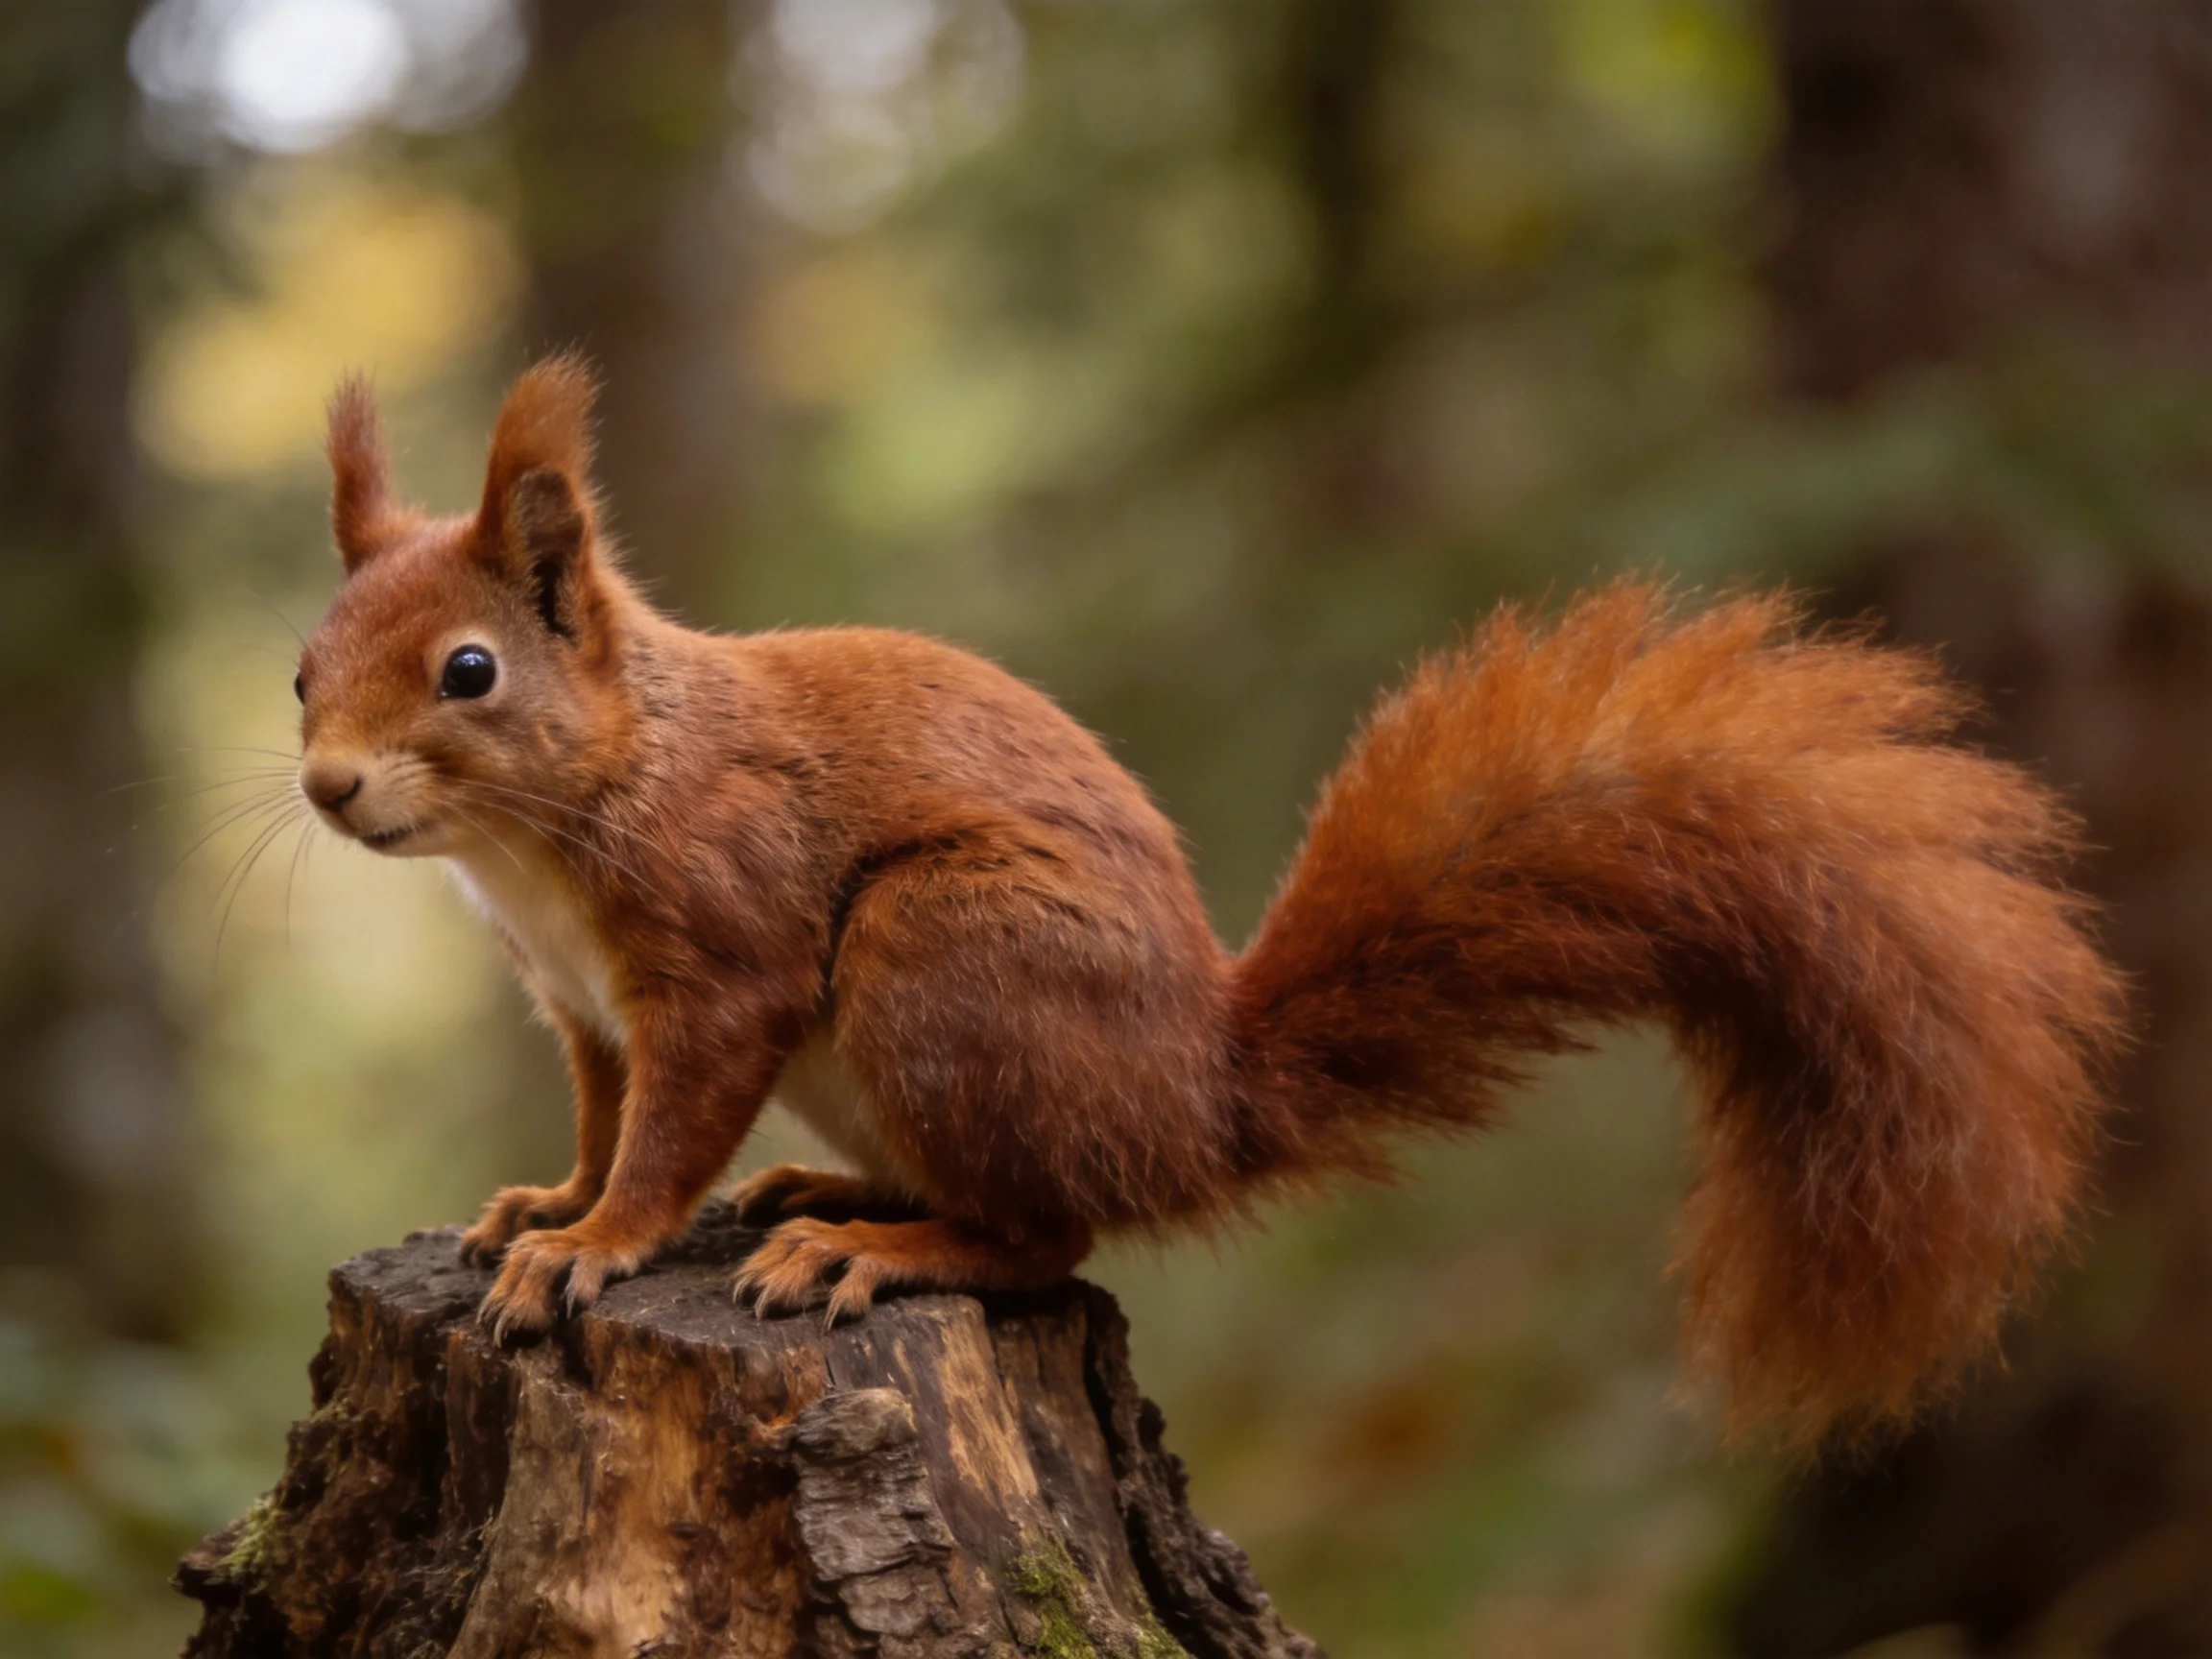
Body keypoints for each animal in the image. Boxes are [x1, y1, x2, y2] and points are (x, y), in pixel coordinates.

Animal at [295, 356, 2125, 1446]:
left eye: (469, 671)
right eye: (303, 666)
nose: (323, 788)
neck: (550, 827)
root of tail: (1198, 1100)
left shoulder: (721, 946)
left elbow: (672, 1135)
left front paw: (595, 1249)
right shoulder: (582, 1004)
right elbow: (607, 1116)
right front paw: (543, 1203)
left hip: (941, 958)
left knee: (1048, 1235)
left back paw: (869, 1247)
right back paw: (830, 1185)